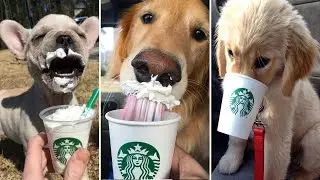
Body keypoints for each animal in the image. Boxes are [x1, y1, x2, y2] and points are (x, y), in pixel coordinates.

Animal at [215, 0, 320, 179]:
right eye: (230, 53)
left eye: (262, 61)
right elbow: (236, 139)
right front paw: (230, 160)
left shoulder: (277, 136)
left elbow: (273, 170)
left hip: (313, 139)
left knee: (313, 169)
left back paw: (300, 174)